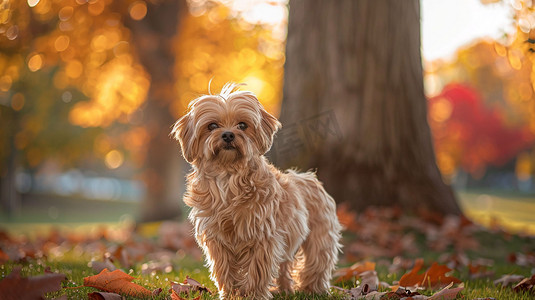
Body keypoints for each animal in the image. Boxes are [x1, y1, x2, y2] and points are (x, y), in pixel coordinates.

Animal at [173, 83, 344, 298]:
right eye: (212, 126)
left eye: (242, 125)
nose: (228, 134)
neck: (229, 177)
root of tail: (310, 178)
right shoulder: (217, 239)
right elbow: (225, 269)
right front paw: (230, 294)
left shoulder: (263, 237)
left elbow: (257, 270)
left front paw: (253, 294)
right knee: (284, 266)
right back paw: (285, 289)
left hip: (319, 238)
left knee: (317, 263)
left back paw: (313, 290)